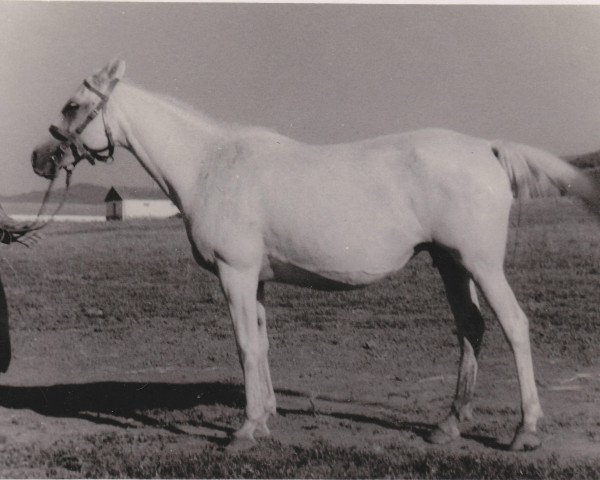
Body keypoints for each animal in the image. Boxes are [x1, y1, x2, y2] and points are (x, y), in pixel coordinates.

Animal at [30, 59, 596, 450]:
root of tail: (487, 148)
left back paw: (526, 431)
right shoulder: (255, 279)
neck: (211, 165)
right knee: (471, 329)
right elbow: (260, 344)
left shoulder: (235, 275)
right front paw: (265, 417)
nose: (39, 157)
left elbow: (244, 346)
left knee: (514, 326)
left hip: (479, 263)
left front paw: (243, 432)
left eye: (73, 105)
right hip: (450, 263)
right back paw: (449, 424)